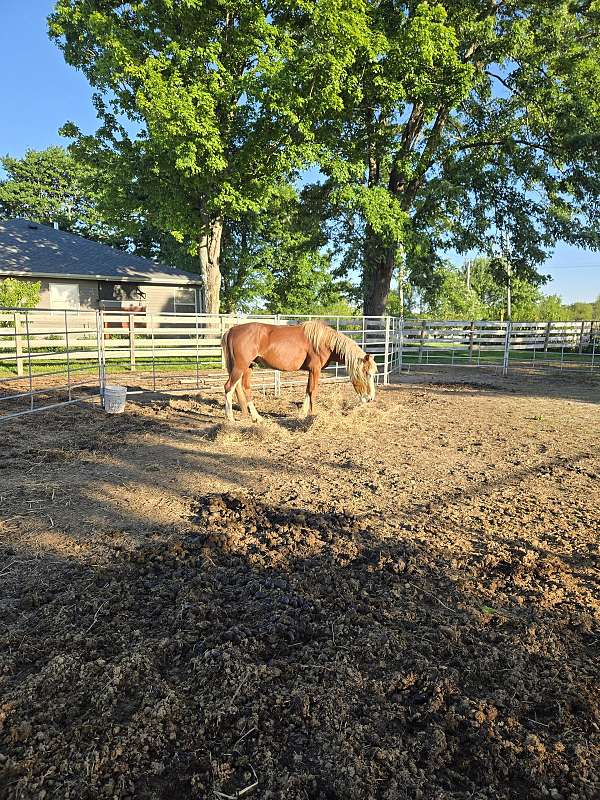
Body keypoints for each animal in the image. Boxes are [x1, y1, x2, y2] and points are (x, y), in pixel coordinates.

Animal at [221, 319, 378, 422]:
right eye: (367, 374)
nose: (370, 398)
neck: (324, 342)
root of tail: (231, 330)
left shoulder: (310, 371)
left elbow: (308, 390)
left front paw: (302, 414)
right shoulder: (315, 370)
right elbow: (313, 391)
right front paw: (313, 414)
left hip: (248, 367)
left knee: (245, 388)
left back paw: (256, 417)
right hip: (240, 366)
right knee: (229, 387)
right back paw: (230, 418)